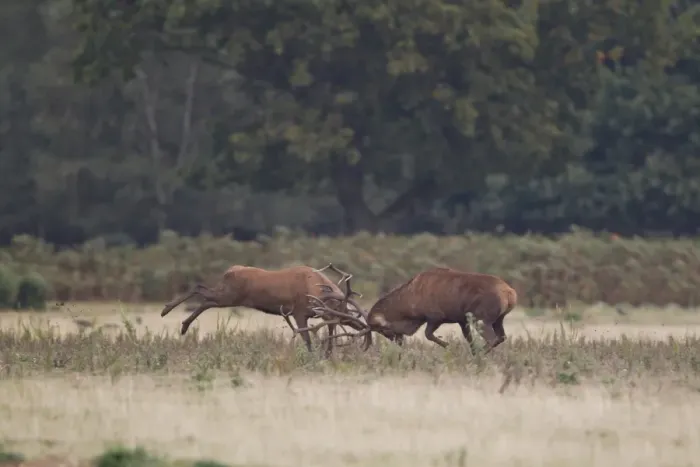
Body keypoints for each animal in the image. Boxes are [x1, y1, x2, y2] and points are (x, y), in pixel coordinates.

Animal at [159, 263, 370, 357]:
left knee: (203, 295)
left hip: (228, 295)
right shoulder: (299, 311)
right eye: (344, 312)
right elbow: (307, 339)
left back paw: (181, 324)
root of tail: (229, 271)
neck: (316, 288)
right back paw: (171, 315)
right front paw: (312, 357)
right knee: (201, 290)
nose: (363, 328)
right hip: (229, 295)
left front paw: (327, 355)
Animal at [294, 266, 517, 355]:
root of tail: (510, 294)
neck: (411, 306)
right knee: (502, 336)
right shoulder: (461, 320)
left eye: (382, 329)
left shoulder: (435, 316)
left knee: (492, 338)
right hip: (497, 319)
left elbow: (428, 335)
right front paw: (468, 352)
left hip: (483, 317)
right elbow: (468, 340)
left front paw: (449, 347)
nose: (399, 342)